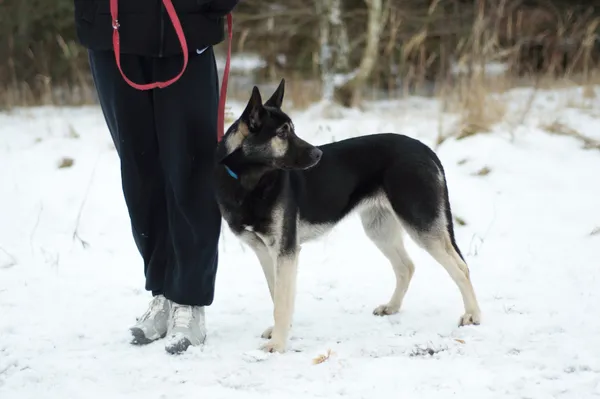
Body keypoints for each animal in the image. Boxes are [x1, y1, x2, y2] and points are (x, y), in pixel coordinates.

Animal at [213, 79, 480, 354]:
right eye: (282, 133)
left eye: (291, 130)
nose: (318, 155)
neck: (249, 182)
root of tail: (426, 150)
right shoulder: (265, 253)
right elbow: (276, 295)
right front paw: (280, 332)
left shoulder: (285, 251)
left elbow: (282, 301)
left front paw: (278, 342)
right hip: (379, 228)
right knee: (406, 266)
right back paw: (392, 307)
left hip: (420, 224)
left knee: (461, 267)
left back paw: (472, 315)